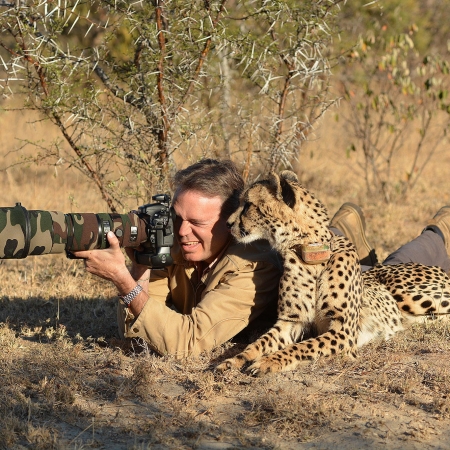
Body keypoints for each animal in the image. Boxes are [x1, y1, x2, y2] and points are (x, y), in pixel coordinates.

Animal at [215, 171, 450, 374]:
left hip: (413, 296)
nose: (227, 224)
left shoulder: (343, 331)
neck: (310, 254)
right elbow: (258, 343)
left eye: (248, 205)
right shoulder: (291, 322)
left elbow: (302, 347)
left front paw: (269, 361)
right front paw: (232, 361)